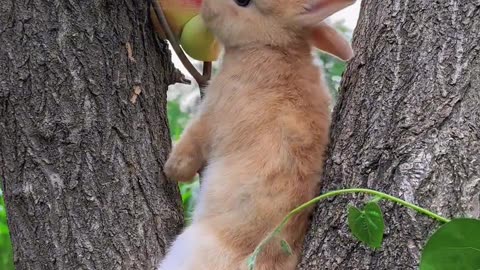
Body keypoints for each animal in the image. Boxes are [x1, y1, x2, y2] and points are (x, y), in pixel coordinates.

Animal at [158, 0, 352, 270]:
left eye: (243, 2)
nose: (205, 5)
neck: (271, 46)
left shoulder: (211, 112)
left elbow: (188, 151)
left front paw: (170, 169)